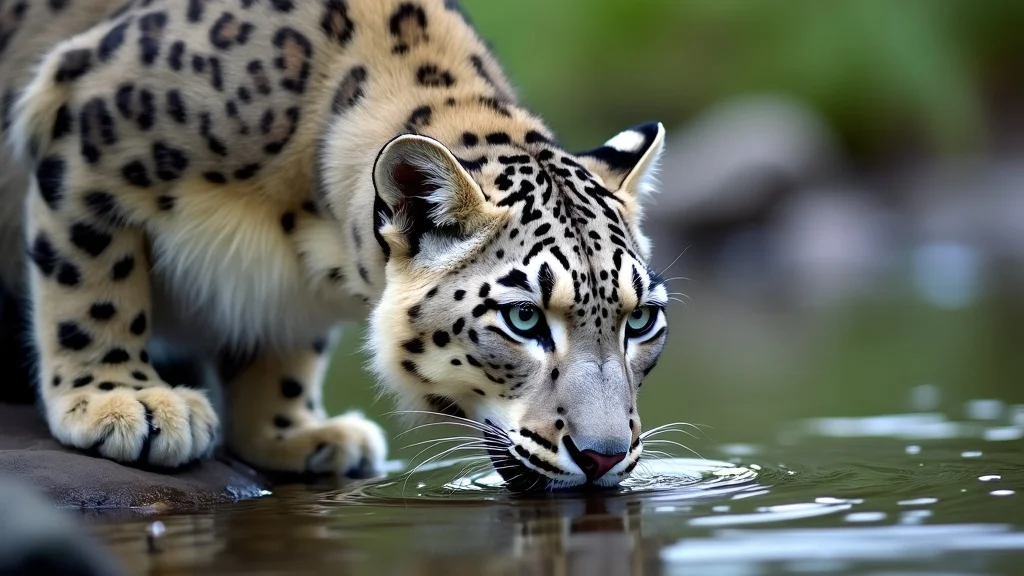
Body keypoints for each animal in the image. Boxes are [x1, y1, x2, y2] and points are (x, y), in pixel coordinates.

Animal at [0, 0, 669, 490]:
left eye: (640, 320)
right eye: (524, 318)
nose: (605, 455)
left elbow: (283, 344)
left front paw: (290, 433)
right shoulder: (90, 136)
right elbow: (91, 282)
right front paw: (122, 401)